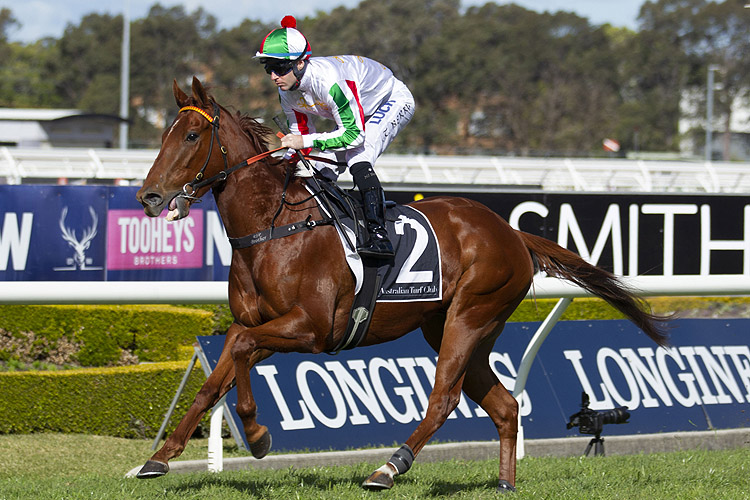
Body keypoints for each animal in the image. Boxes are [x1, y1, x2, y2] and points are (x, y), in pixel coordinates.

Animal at [134, 78, 668, 492]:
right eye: (165, 134)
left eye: (192, 134)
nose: (149, 196)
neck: (273, 230)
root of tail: (511, 232)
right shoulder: (268, 326)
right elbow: (219, 371)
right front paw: (159, 457)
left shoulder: (311, 328)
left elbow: (241, 349)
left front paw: (258, 434)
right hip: (456, 327)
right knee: (505, 404)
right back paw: (504, 482)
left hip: (470, 315)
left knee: (444, 398)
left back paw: (389, 467)